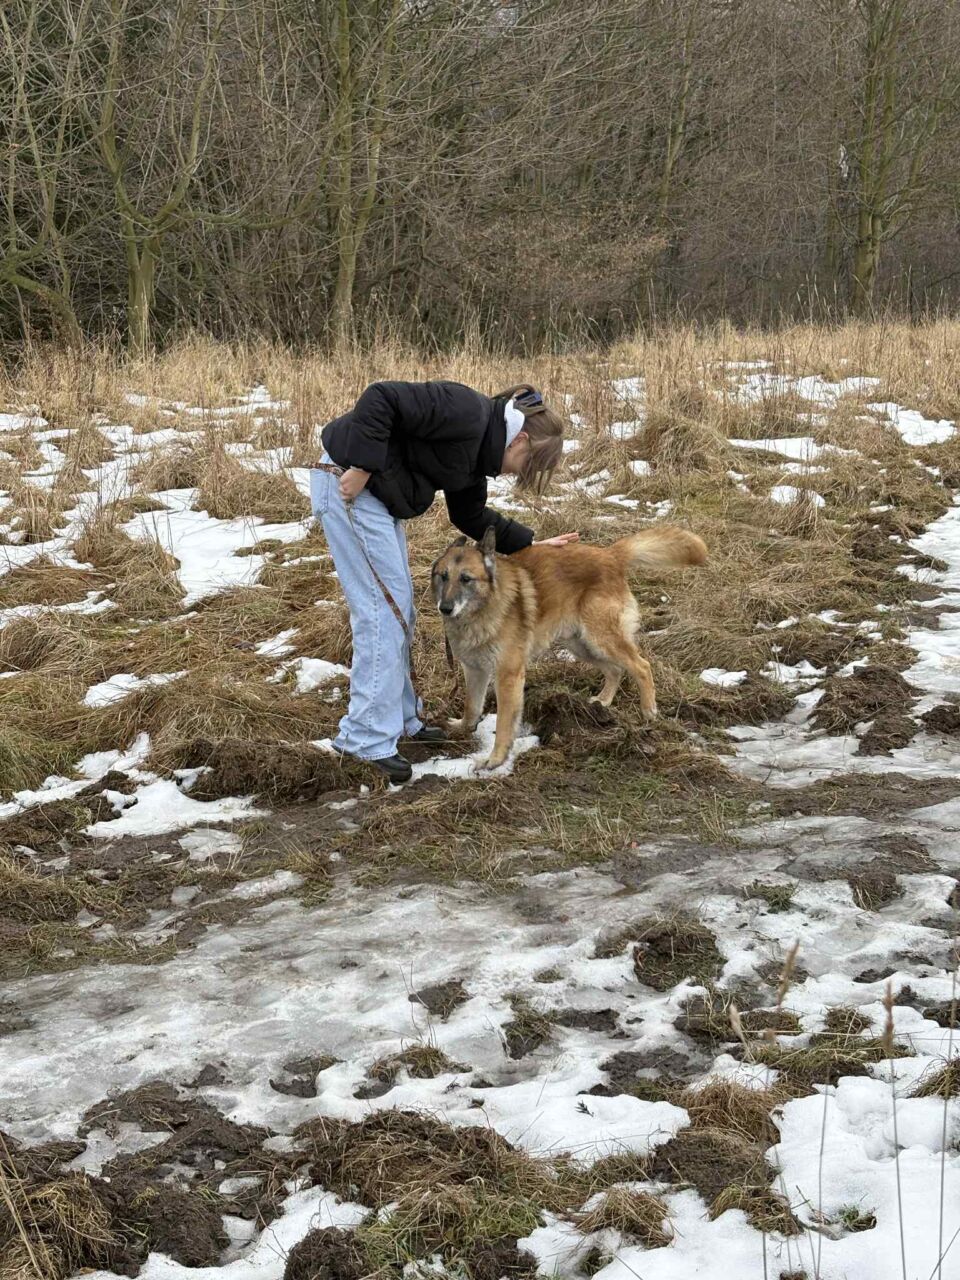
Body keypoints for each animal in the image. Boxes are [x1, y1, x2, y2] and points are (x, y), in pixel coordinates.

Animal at [431, 524, 707, 770]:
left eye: (466, 579)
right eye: (442, 576)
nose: (445, 608)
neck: (482, 609)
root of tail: (610, 554)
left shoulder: (507, 676)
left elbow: (503, 725)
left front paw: (496, 760)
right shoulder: (474, 671)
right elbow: (471, 706)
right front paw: (463, 728)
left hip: (600, 639)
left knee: (641, 666)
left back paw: (648, 710)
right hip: (581, 644)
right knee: (615, 670)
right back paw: (603, 702)